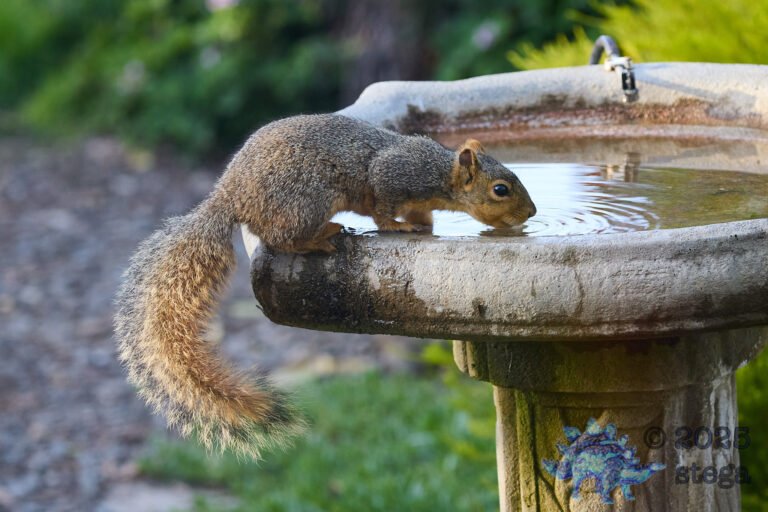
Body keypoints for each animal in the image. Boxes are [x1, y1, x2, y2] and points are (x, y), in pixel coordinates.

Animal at [114, 113, 536, 459]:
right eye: (501, 189)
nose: (532, 213)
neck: (437, 173)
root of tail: (231, 196)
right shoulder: (391, 177)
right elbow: (382, 211)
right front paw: (398, 227)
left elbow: (420, 215)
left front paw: (424, 226)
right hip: (308, 198)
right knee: (281, 238)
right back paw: (322, 237)